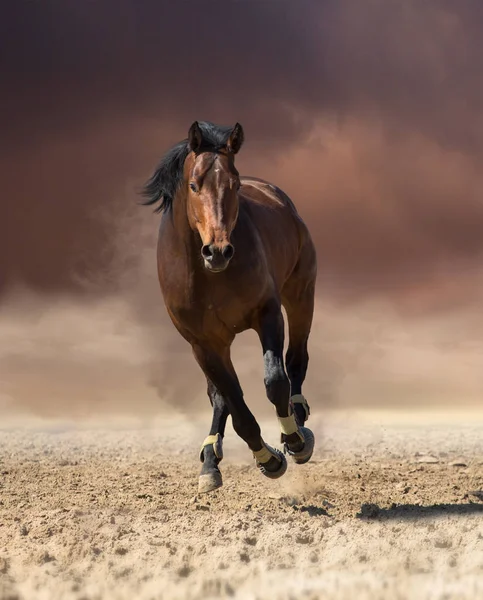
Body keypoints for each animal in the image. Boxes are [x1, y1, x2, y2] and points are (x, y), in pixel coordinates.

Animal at [141, 120, 318, 492]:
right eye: (194, 185)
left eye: (234, 185)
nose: (218, 251)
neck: (209, 276)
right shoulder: (203, 343)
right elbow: (233, 403)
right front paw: (267, 458)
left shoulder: (267, 312)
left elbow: (275, 381)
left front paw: (293, 441)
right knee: (219, 396)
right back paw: (210, 460)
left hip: (301, 294)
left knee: (297, 360)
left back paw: (298, 419)